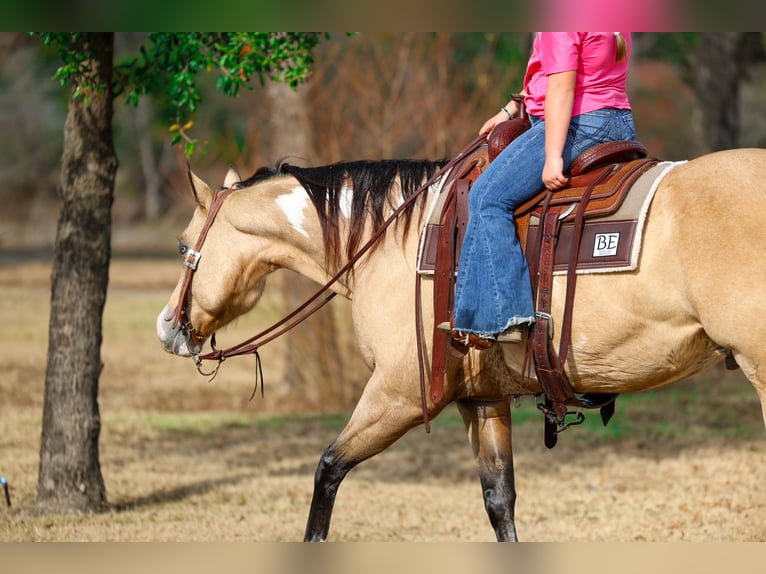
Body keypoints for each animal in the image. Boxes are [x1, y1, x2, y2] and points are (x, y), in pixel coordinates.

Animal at [157, 147, 766, 541]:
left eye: (185, 246)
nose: (167, 328)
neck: (395, 244)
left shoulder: (399, 397)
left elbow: (327, 471)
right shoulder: (483, 400)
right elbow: (501, 504)